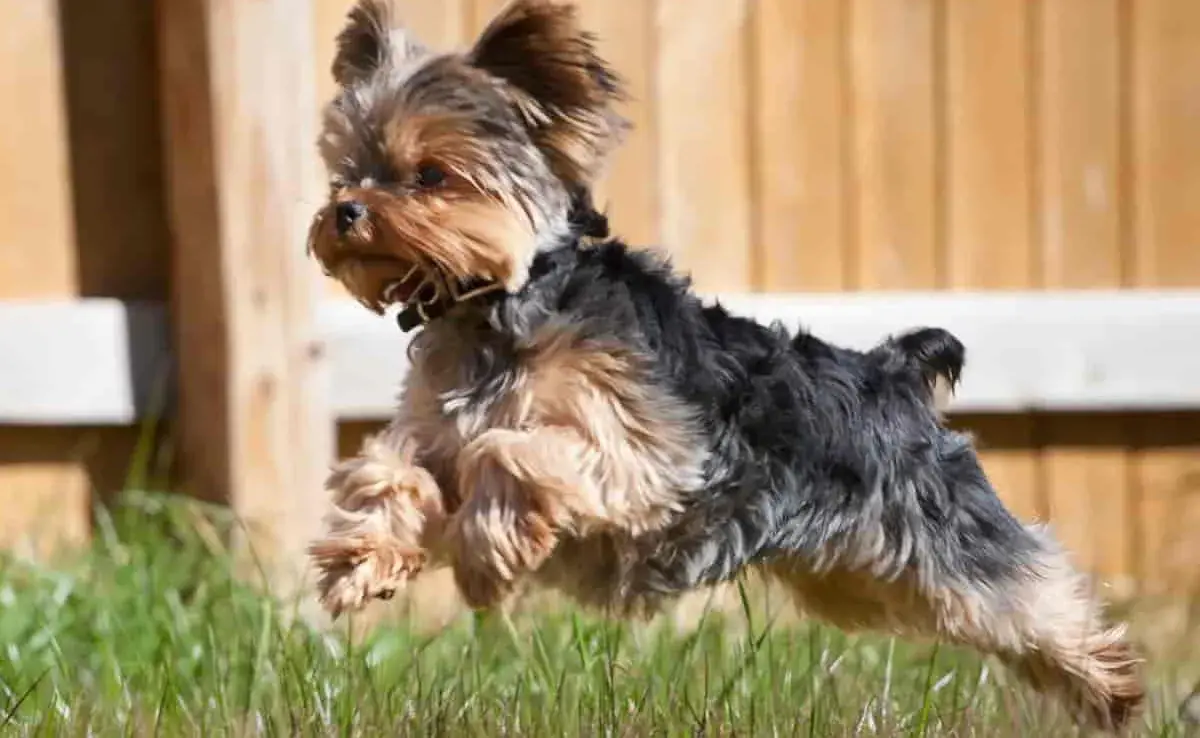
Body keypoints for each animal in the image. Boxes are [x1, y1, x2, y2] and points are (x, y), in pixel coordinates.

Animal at [300, 0, 1142, 729]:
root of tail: (894, 372)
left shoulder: (648, 456)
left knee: (1027, 587)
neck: (499, 303)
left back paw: (1114, 683)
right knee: (984, 616)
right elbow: (392, 468)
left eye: (430, 175)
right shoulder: (435, 432)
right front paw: (360, 558)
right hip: (861, 575)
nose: (345, 211)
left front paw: (489, 546)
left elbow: (512, 451)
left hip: (943, 525)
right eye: (348, 170)